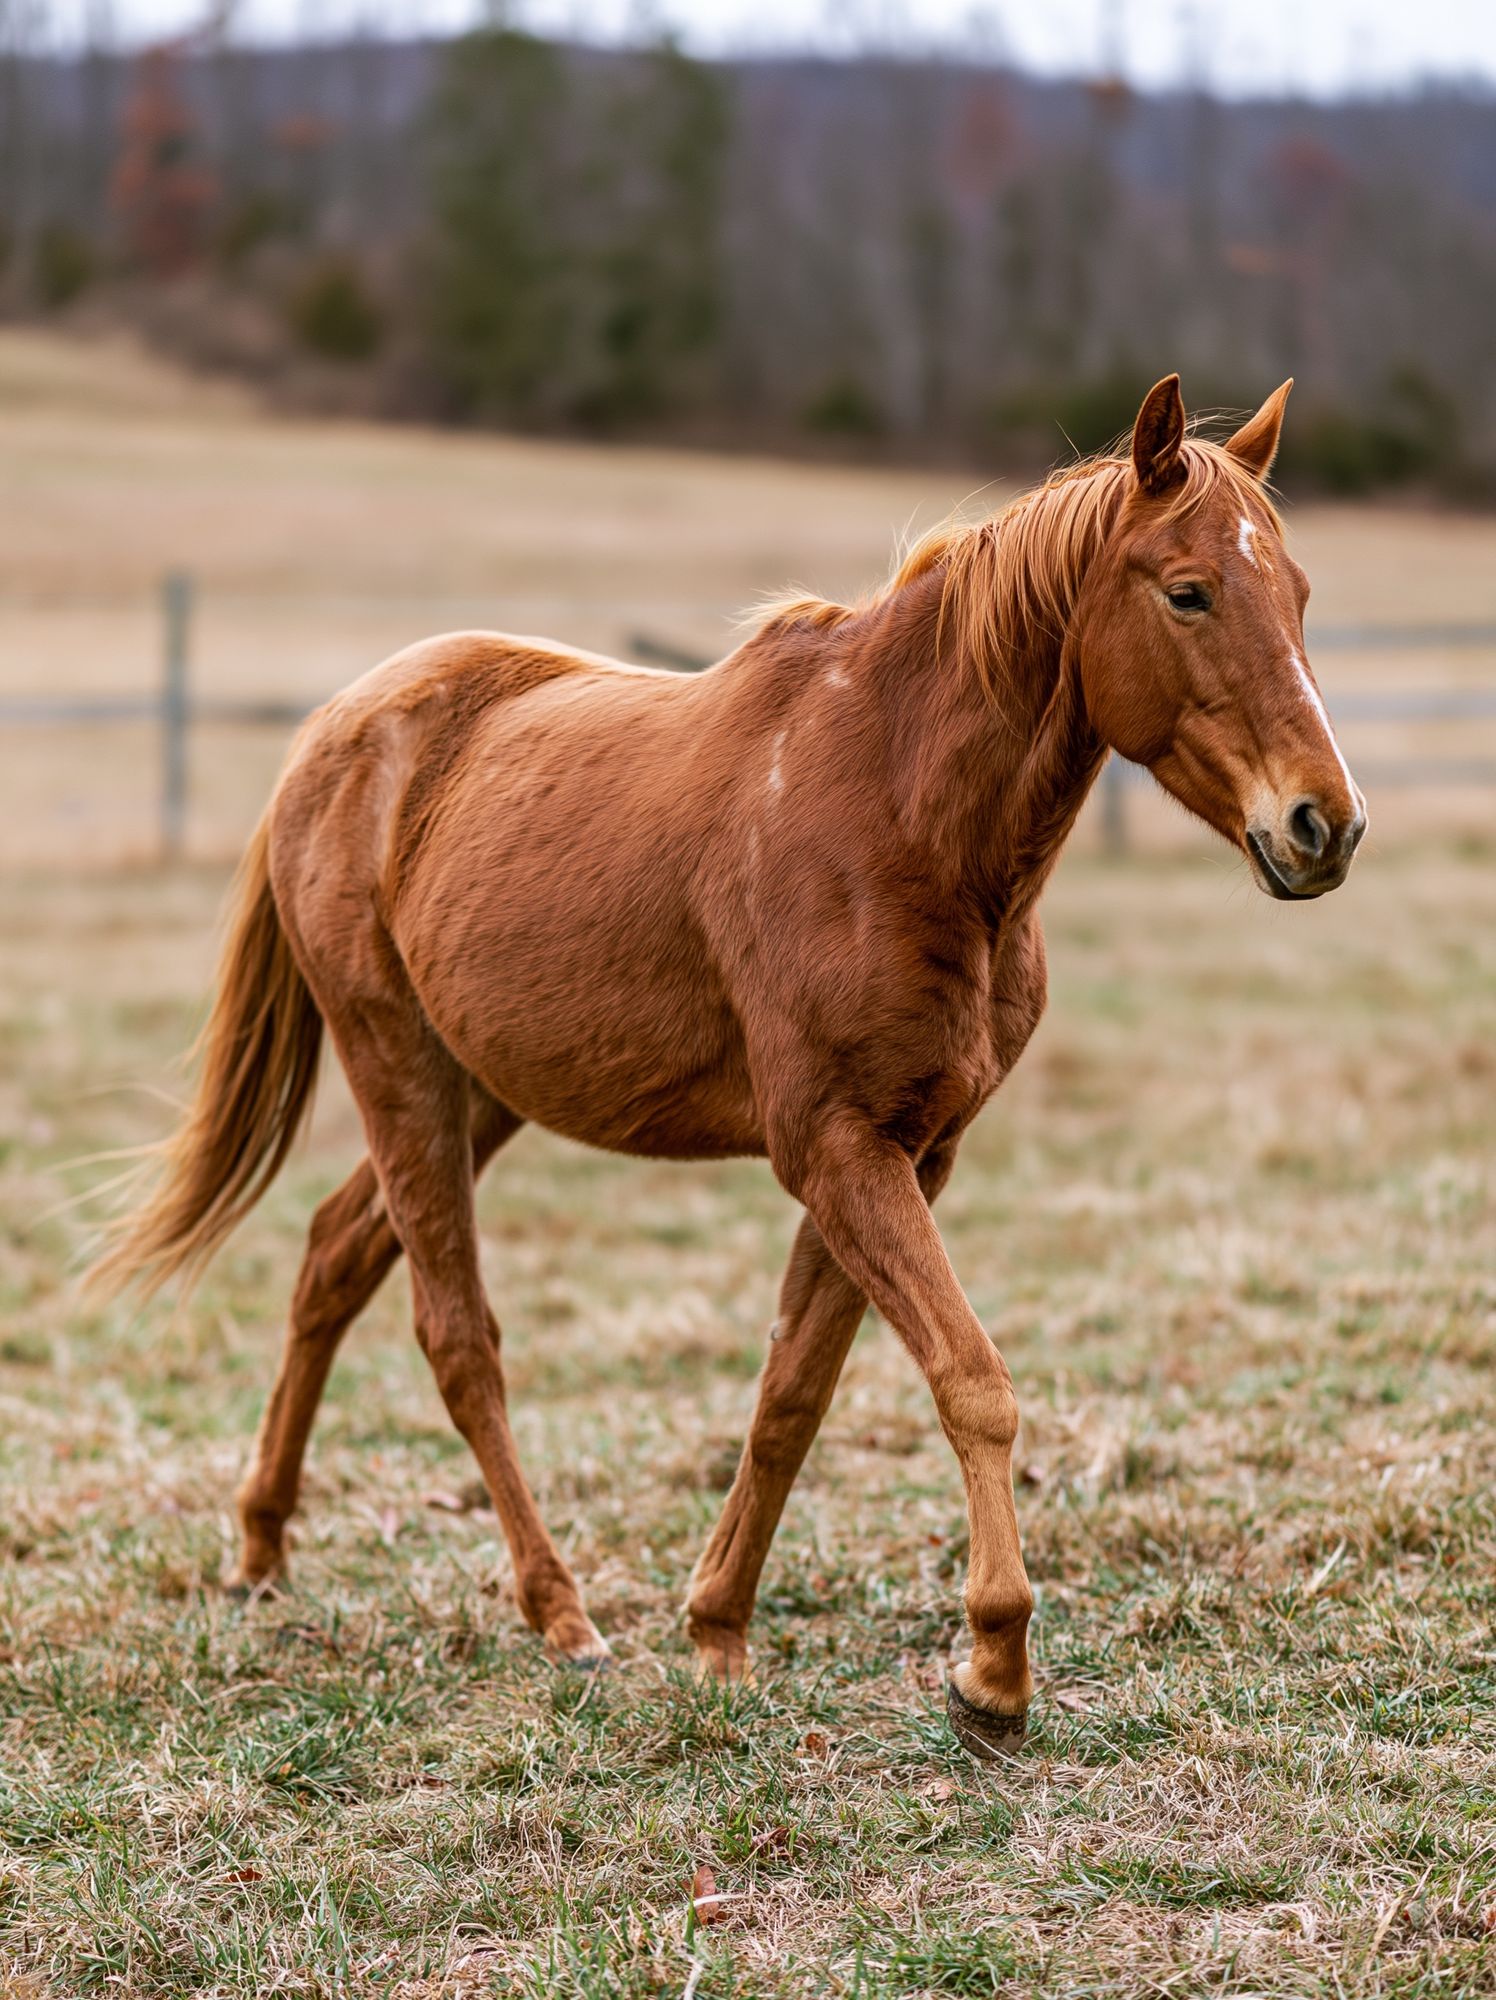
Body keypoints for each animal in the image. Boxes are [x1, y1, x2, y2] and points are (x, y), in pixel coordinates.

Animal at [93, 375, 1366, 1760]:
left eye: (1296, 590)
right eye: (1186, 591)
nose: (1323, 825)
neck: (896, 809)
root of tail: (334, 728)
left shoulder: (910, 1149)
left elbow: (790, 1393)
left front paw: (717, 1632)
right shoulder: (835, 1146)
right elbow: (969, 1380)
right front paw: (992, 1667)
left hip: (476, 1088)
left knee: (332, 1258)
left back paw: (262, 1548)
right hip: (400, 1068)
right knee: (456, 1333)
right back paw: (559, 1613)